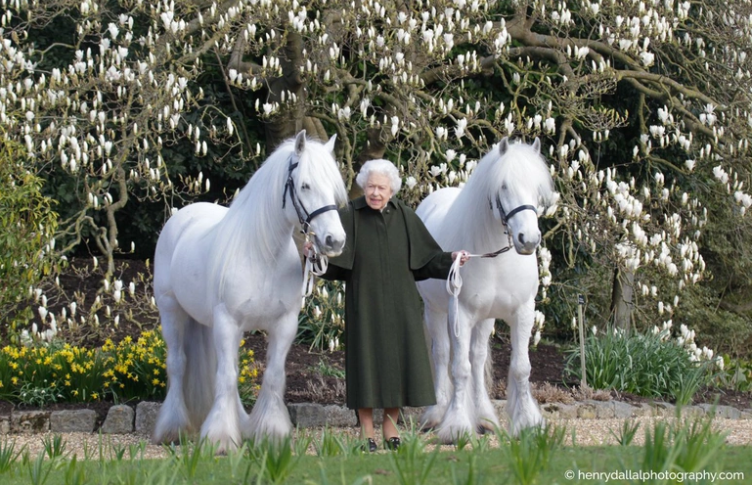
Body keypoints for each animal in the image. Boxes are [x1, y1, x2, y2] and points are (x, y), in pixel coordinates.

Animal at [151, 130, 350, 452]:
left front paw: (270, 433)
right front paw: (220, 439)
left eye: (333, 188)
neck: (262, 255)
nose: (335, 240)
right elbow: (226, 377)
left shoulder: (284, 325)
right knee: (178, 364)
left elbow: (272, 376)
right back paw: (173, 429)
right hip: (172, 312)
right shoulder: (228, 322)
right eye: (305, 185)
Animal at [414, 136, 556, 442]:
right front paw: (456, 426)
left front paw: (527, 423)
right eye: (504, 186)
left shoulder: (523, 312)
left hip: (485, 318)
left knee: (477, 359)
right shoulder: (461, 314)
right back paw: (436, 414)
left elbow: (520, 368)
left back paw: (484, 418)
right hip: (436, 311)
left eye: (537, 188)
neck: (495, 257)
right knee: (442, 355)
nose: (528, 239)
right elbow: (459, 368)